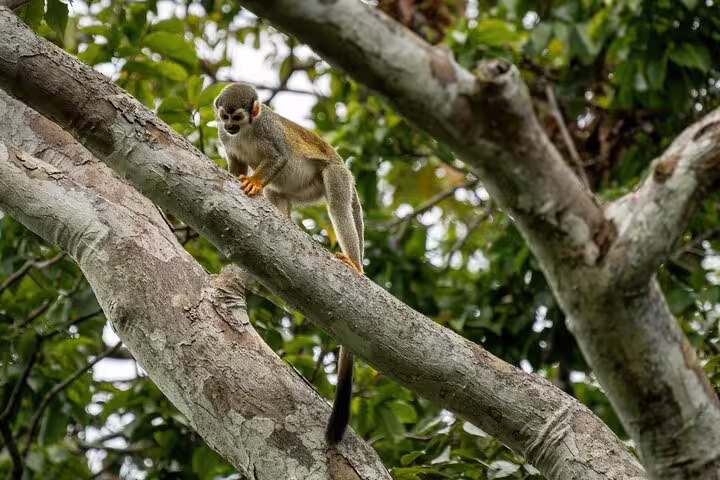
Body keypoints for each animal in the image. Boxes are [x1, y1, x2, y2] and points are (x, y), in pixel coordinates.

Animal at [214, 83, 363, 444]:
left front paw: (254, 181)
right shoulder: (226, 141)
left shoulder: (268, 129)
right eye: (224, 117)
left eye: (238, 117)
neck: (248, 130)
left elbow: (279, 156)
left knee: (338, 203)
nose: (229, 127)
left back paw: (354, 263)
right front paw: (238, 175)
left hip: (335, 174)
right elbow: (236, 164)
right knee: (280, 196)